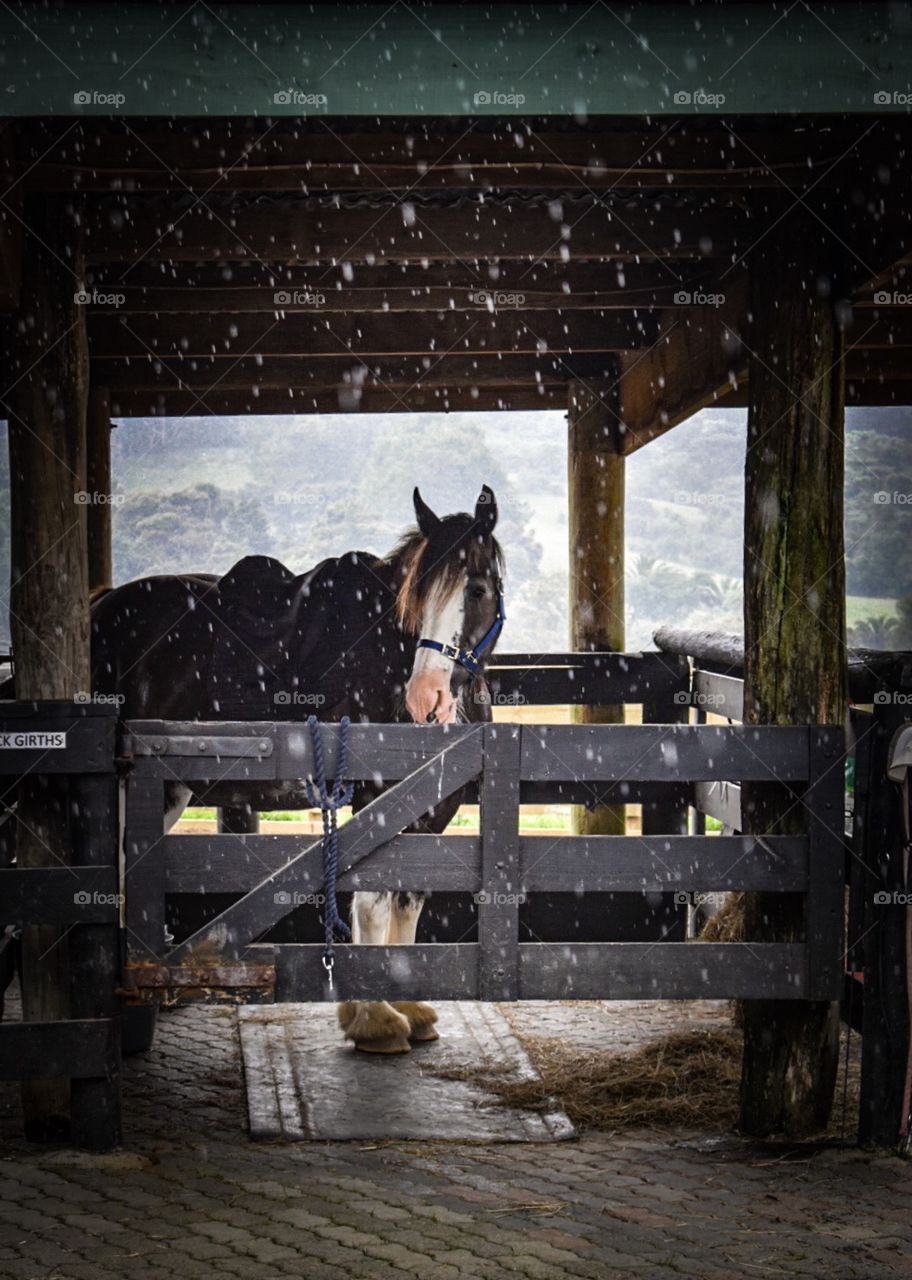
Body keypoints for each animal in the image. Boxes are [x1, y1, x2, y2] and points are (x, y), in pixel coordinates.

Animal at [88, 485, 505, 1053]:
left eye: (478, 589)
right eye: (415, 598)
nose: (426, 697)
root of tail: (100, 607)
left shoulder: (433, 808)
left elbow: (407, 900)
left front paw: (408, 1008)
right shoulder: (377, 799)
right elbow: (372, 904)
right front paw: (375, 1019)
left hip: (167, 792)